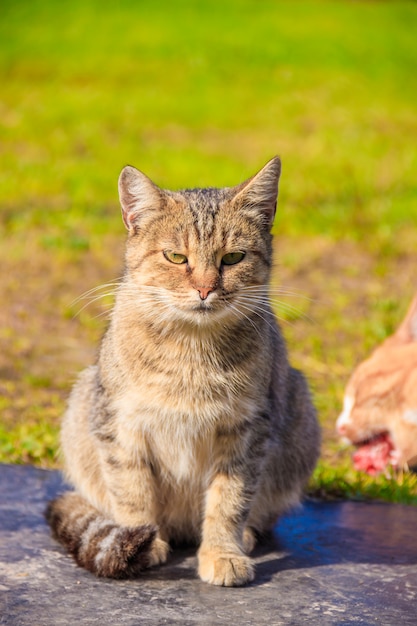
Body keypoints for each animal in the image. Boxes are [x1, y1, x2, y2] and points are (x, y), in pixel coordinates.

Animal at [46, 157, 318, 584]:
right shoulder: (119, 424)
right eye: (175, 257)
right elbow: (132, 492)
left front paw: (223, 552)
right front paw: (141, 538)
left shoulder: (247, 430)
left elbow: (229, 500)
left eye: (233, 258)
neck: (191, 348)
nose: (205, 289)